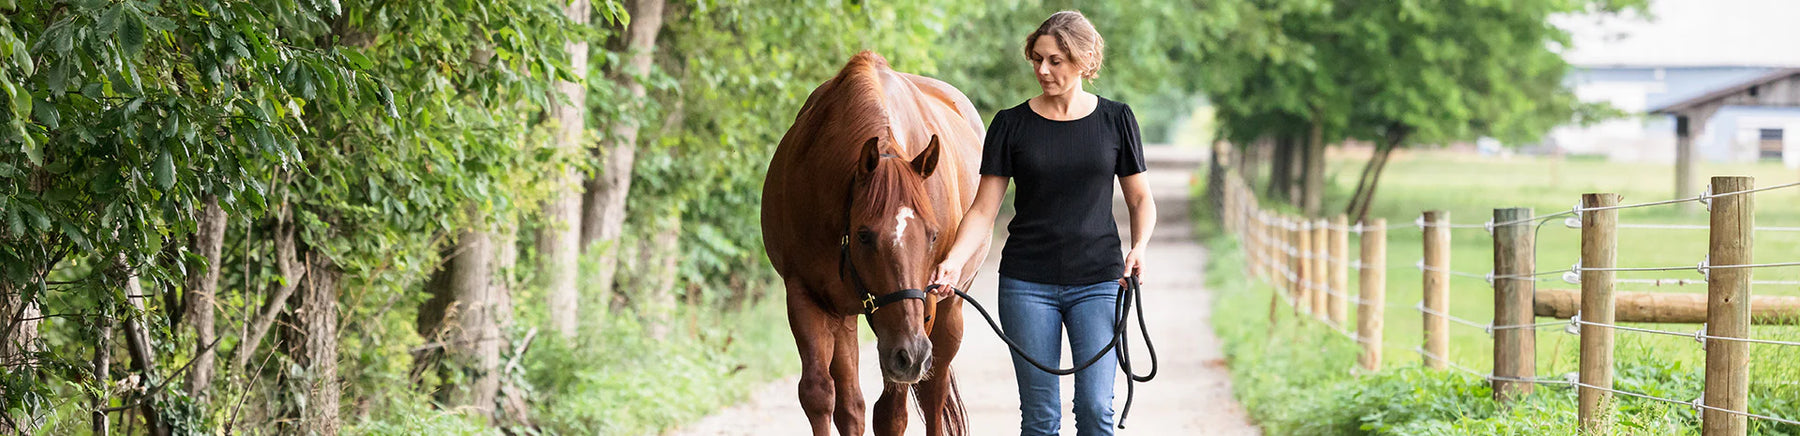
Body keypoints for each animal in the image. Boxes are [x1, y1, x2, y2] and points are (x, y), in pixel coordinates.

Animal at [759, 52, 986, 436]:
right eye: (865, 234)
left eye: (933, 235)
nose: (912, 353)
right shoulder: (807, 295)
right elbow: (820, 395)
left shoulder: (919, 315)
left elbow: (892, 413)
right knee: (851, 404)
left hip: (945, 313)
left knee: (933, 392)